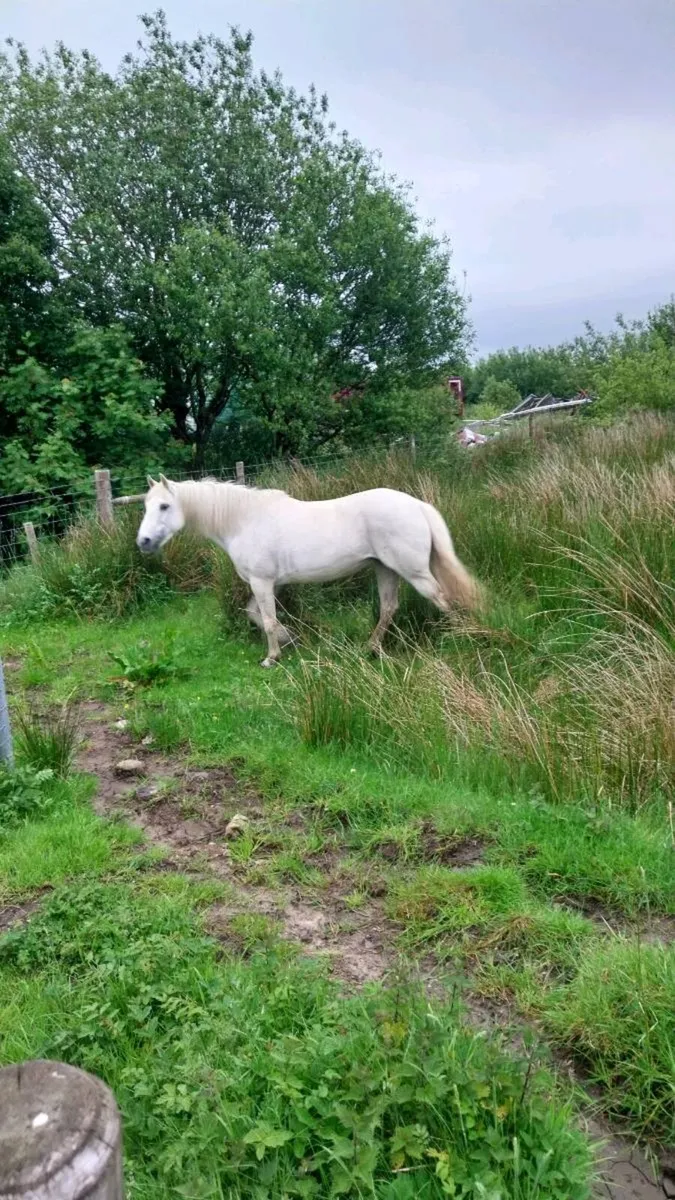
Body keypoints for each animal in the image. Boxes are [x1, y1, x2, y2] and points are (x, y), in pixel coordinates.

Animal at [137, 474, 481, 666]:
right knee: (388, 608)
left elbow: (267, 620)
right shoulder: (269, 584)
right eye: (146, 506)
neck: (244, 520)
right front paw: (290, 638)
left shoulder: (262, 582)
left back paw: (463, 640)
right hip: (386, 570)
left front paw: (272, 657)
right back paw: (371, 649)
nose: (143, 541)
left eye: (164, 506)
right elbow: (256, 614)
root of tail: (417, 505)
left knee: (443, 599)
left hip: (414, 573)